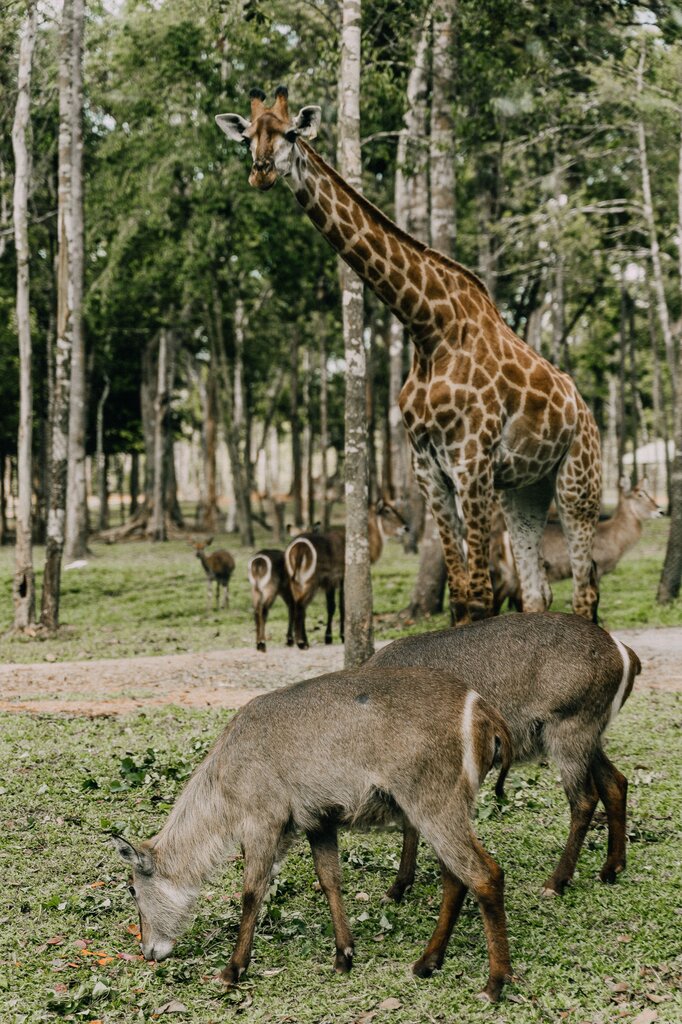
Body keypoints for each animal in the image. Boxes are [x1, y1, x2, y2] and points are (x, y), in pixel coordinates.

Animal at [113, 666, 513, 1001]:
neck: (226, 768)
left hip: (433, 805)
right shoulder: (319, 823)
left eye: (132, 889)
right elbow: (330, 881)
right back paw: (426, 963)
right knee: (455, 878)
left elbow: (251, 892)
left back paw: (494, 985)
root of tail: (483, 711)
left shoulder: (261, 822)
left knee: (485, 874)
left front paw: (232, 969)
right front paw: (344, 956)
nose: (148, 951)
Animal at [216, 87, 602, 624]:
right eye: (248, 136)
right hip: (524, 490)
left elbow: (480, 595)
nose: (261, 171)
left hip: (577, 483)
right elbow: (461, 595)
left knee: (585, 591)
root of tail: (585, 409)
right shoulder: (428, 471)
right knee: (537, 593)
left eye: (291, 133)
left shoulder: (471, 463)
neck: (427, 331)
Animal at [367, 612, 640, 900]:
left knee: (585, 799)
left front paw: (397, 887)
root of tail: (623, 651)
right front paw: (399, 887)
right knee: (615, 782)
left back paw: (556, 882)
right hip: (589, 738)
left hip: (569, 733)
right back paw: (611, 868)